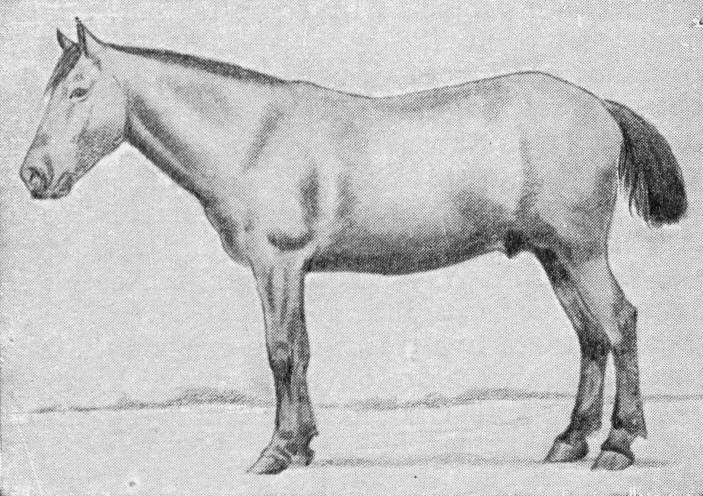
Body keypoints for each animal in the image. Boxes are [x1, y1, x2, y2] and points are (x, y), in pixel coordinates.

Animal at [20, 19, 687, 474]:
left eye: (78, 90)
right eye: (51, 90)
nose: (33, 175)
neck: (254, 138)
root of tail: (598, 105)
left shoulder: (277, 264)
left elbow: (281, 352)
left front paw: (276, 451)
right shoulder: (293, 270)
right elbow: (302, 351)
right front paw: (303, 443)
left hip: (580, 251)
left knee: (619, 322)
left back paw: (617, 445)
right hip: (554, 256)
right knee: (590, 335)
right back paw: (569, 440)